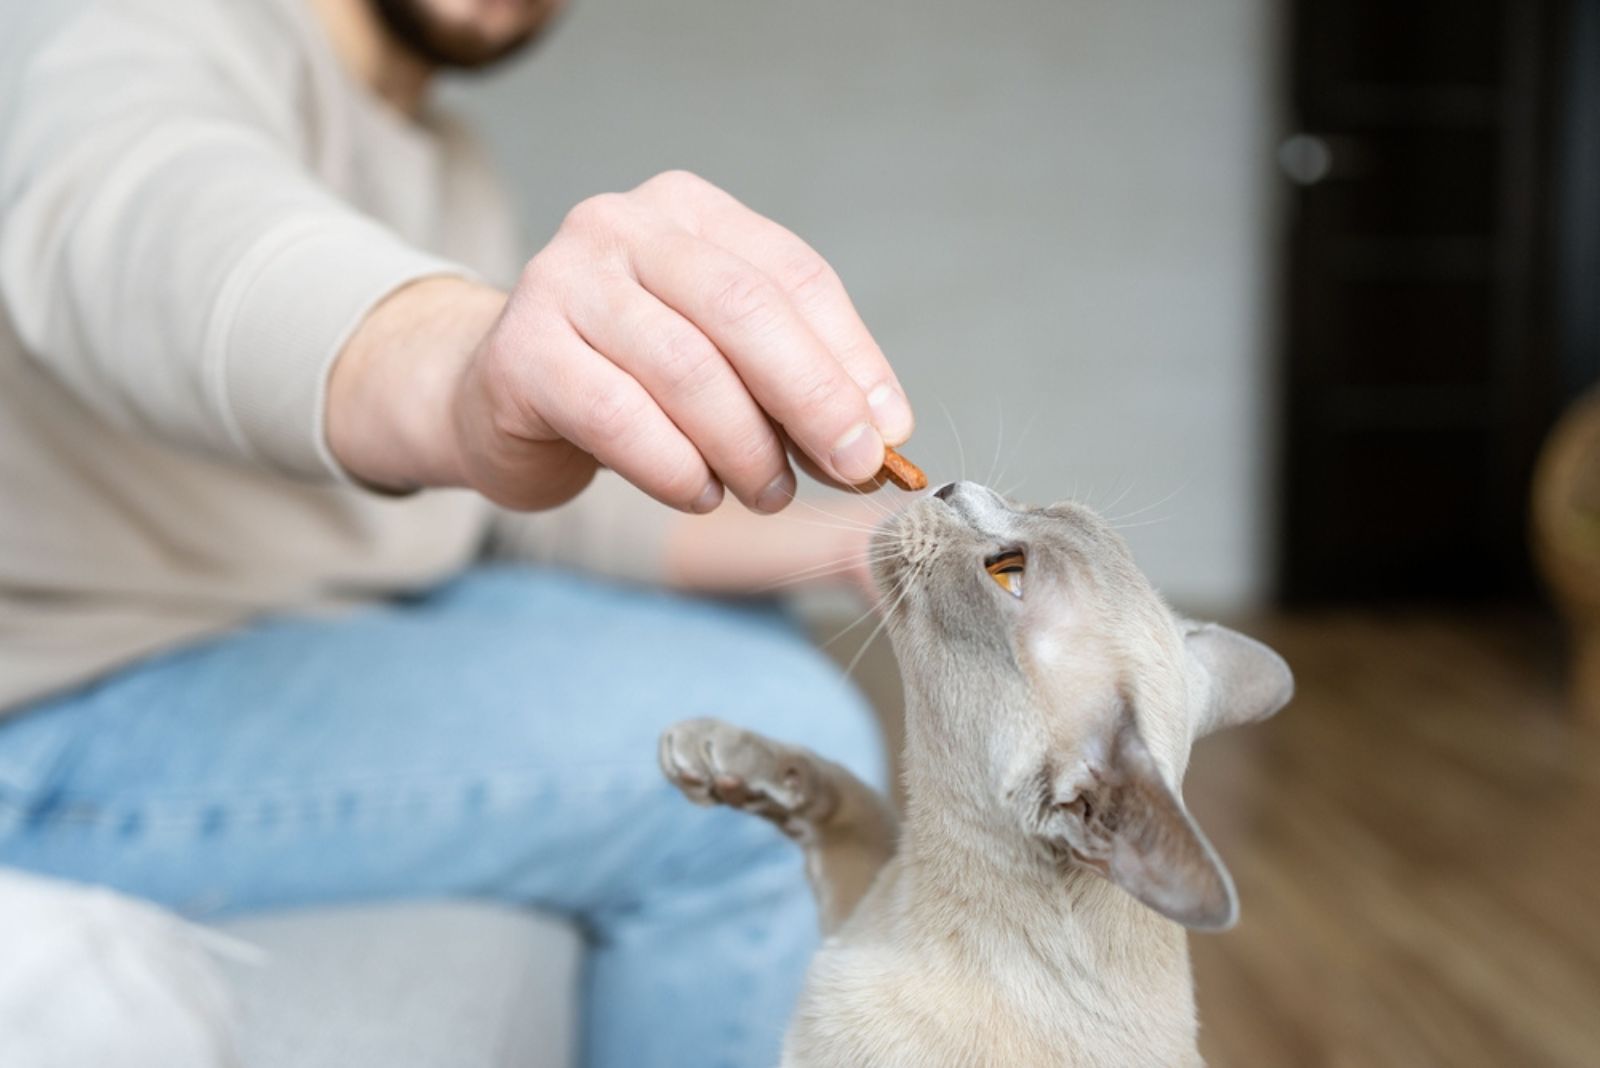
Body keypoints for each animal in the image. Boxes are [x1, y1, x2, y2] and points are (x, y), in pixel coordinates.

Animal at [656, 479, 1292, 1061]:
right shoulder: (859, 899)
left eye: (1009, 575)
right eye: (1043, 507)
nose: (947, 489)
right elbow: (846, 790)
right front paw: (712, 750)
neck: (908, 893)